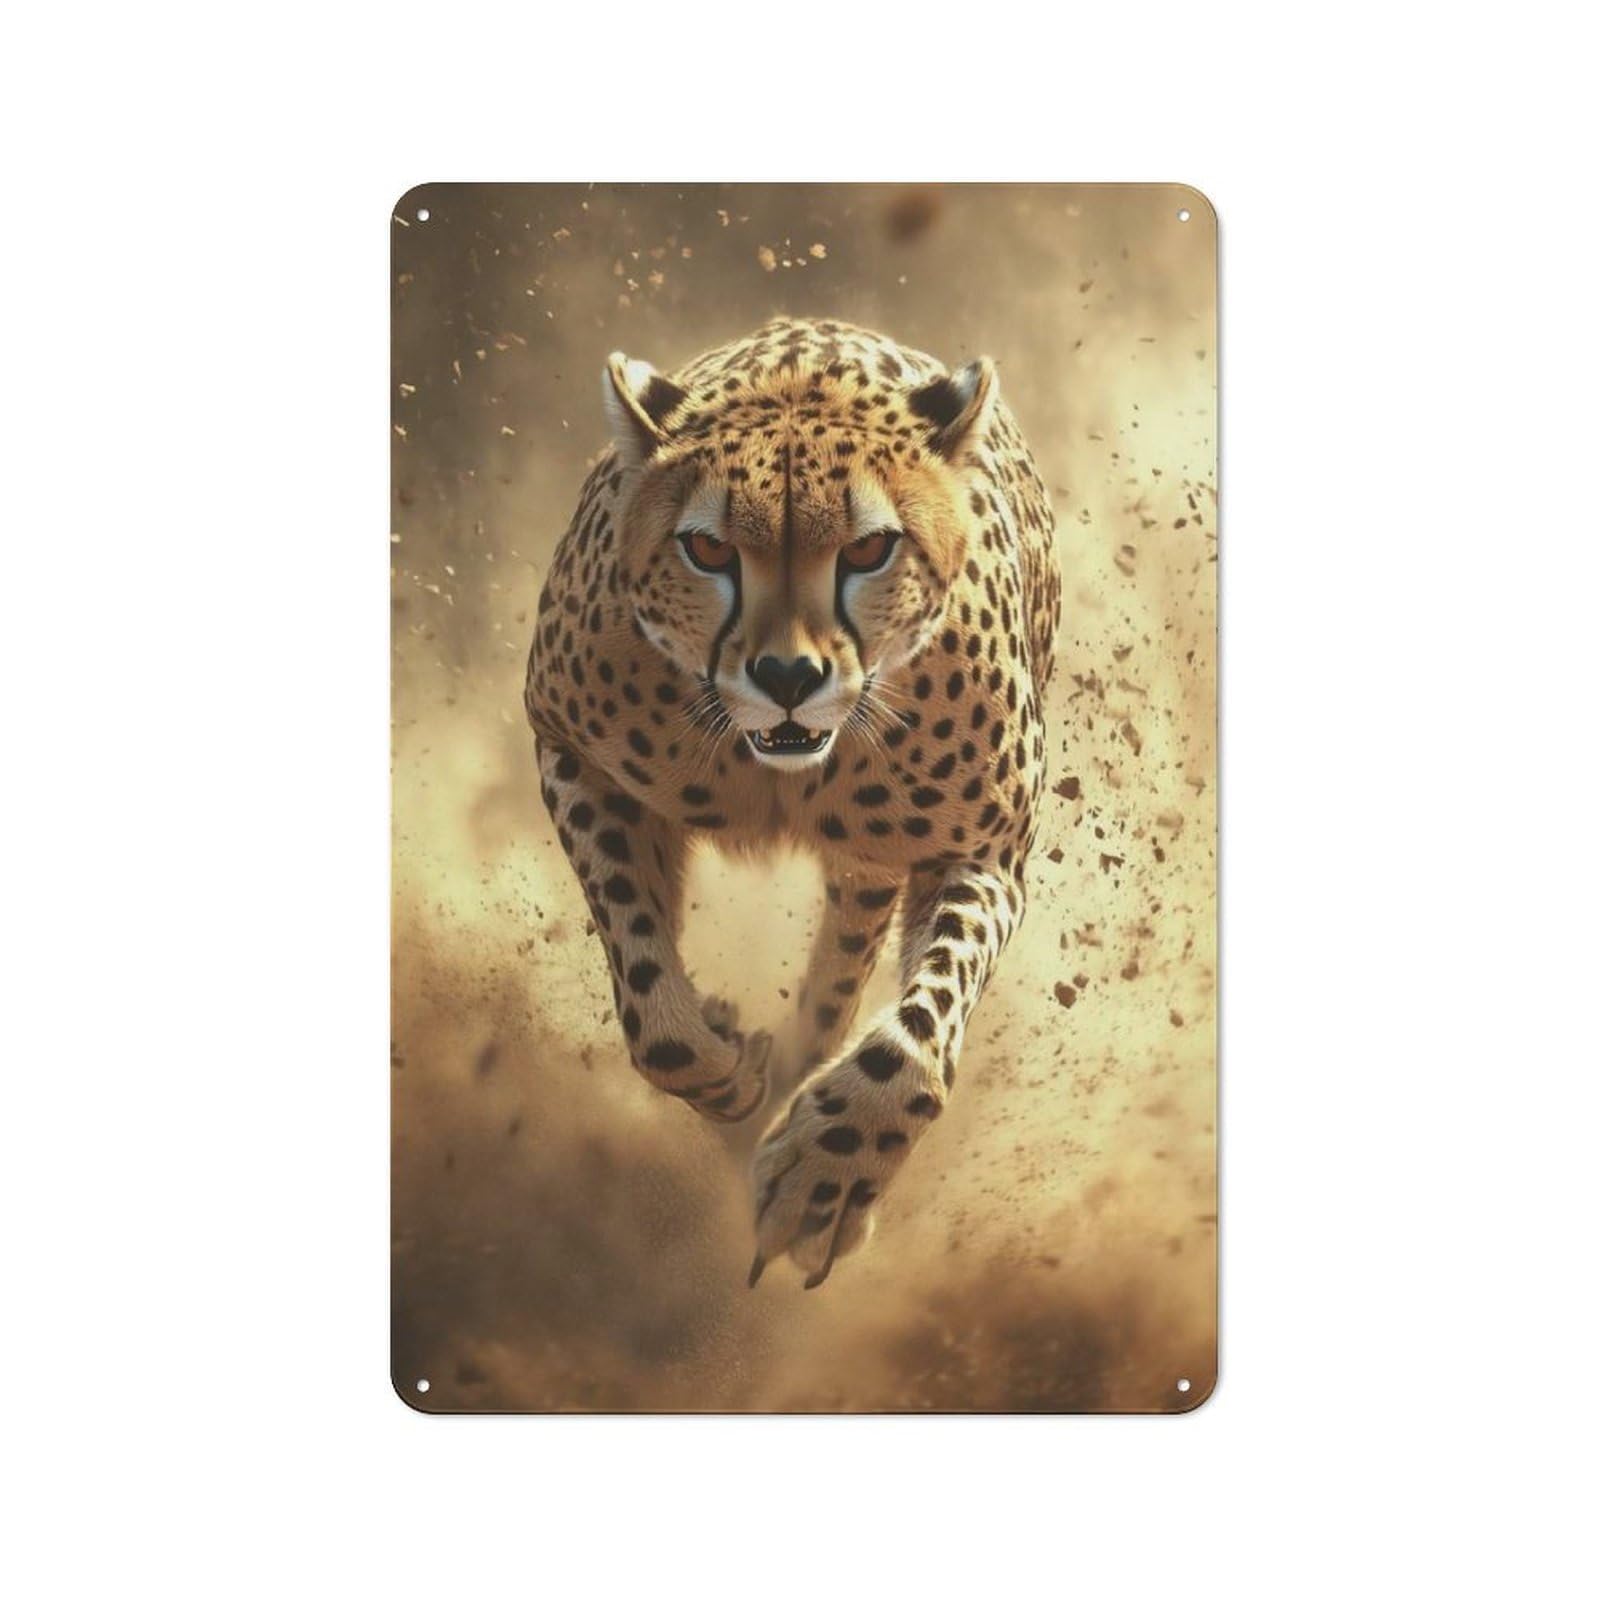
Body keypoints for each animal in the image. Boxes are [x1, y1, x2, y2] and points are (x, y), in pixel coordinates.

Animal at [524, 317, 1061, 1289]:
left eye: (868, 550)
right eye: (707, 550)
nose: (785, 677)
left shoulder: (984, 850)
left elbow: (919, 1034)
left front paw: (826, 1170)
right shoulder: (570, 749)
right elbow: (647, 993)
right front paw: (721, 1055)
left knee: (842, 980)